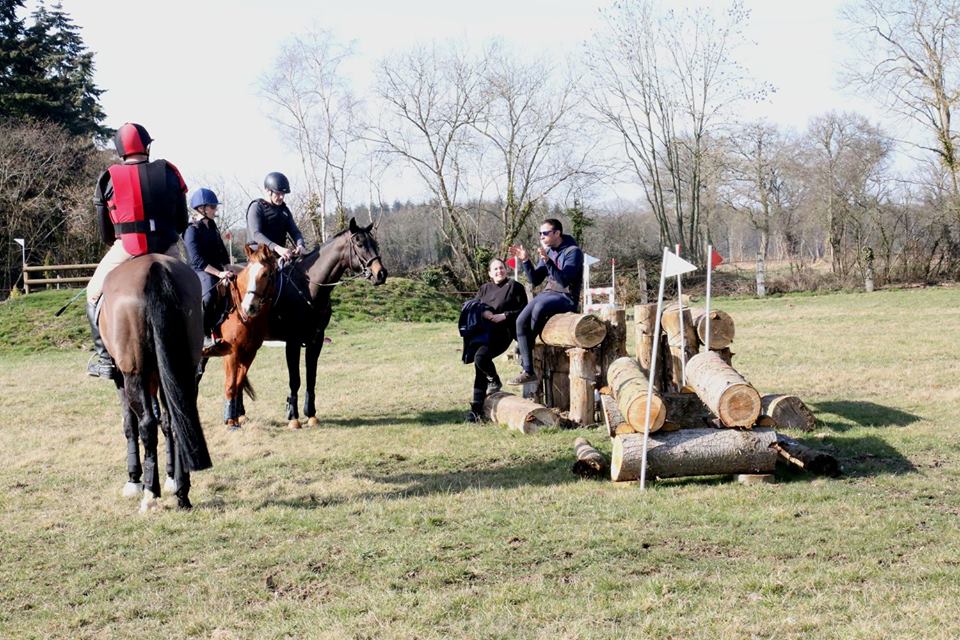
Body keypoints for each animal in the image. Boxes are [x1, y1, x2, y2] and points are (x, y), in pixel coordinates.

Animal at [99, 254, 212, 510]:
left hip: (133, 374)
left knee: (146, 425)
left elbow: (130, 425)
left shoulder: (122, 378)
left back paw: (150, 494)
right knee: (180, 420)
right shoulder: (159, 377)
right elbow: (167, 422)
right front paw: (171, 477)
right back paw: (182, 493)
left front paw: (134, 479)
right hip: (182, 369)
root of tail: (155, 266)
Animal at [199, 245, 278, 430]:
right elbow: (230, 386)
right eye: (249, 273)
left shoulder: (249, 354)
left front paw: (234, 417)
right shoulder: (231, 354)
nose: (250, 307)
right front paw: (230, 421)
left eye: (265, 274)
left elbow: (238, 384)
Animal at [266, 216, 386, 430]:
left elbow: (311, 376)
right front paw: (294, 417)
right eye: (360, 244)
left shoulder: (316, 339)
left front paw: (311, 414)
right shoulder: (292, 342)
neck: (308, 287)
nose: (381, 274)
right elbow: (295, 379)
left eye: (375, 243)